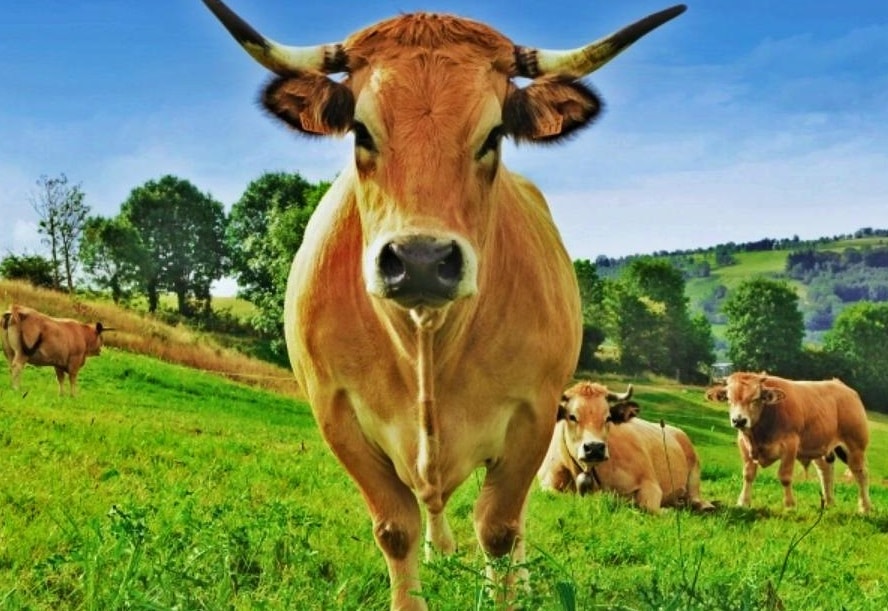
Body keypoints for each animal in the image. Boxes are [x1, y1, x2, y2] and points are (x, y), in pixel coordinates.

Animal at [202, 1, 686, 608]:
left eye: (494, 135)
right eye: (360, 130)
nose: (421, 258)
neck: (426, 337)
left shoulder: (534, 416)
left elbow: (500, 529)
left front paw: (510, 584)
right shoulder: (335, 413)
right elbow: (396, 528)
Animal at [538, 381, 714, 513]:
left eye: (608, 417)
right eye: (572, 417)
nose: (594, 448)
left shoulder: (650, 483)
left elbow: (646, 505)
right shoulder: (546, 484)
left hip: (695, 469)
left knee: (694, 496)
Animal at [705, 372, 872, 513]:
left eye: (756, 398)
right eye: (729, 399)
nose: (739, 420)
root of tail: (841, 385)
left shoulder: (790, 445)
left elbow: (785, 477)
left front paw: (789, 506)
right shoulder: (744, 445)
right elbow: (748, 475)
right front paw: (743, 502)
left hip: (855, 446)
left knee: (861, 474)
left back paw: (865, 508)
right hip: (821, 447)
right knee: (825, 472)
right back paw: (829, 503)